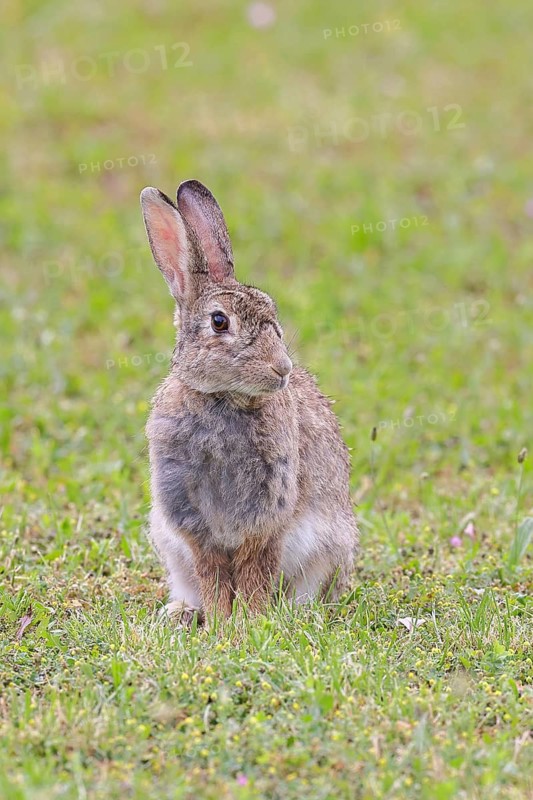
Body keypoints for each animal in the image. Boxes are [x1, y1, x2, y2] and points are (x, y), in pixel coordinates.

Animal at [140, 179, 358, 622]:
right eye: (219, 322)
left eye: (272, 313)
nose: (282, 368)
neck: (223, 399)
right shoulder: (191, 519)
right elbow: (213, 574)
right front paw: (222, 622)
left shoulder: (268, 513)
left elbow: (255, 568)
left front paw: (250, 622)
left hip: (329, 547)